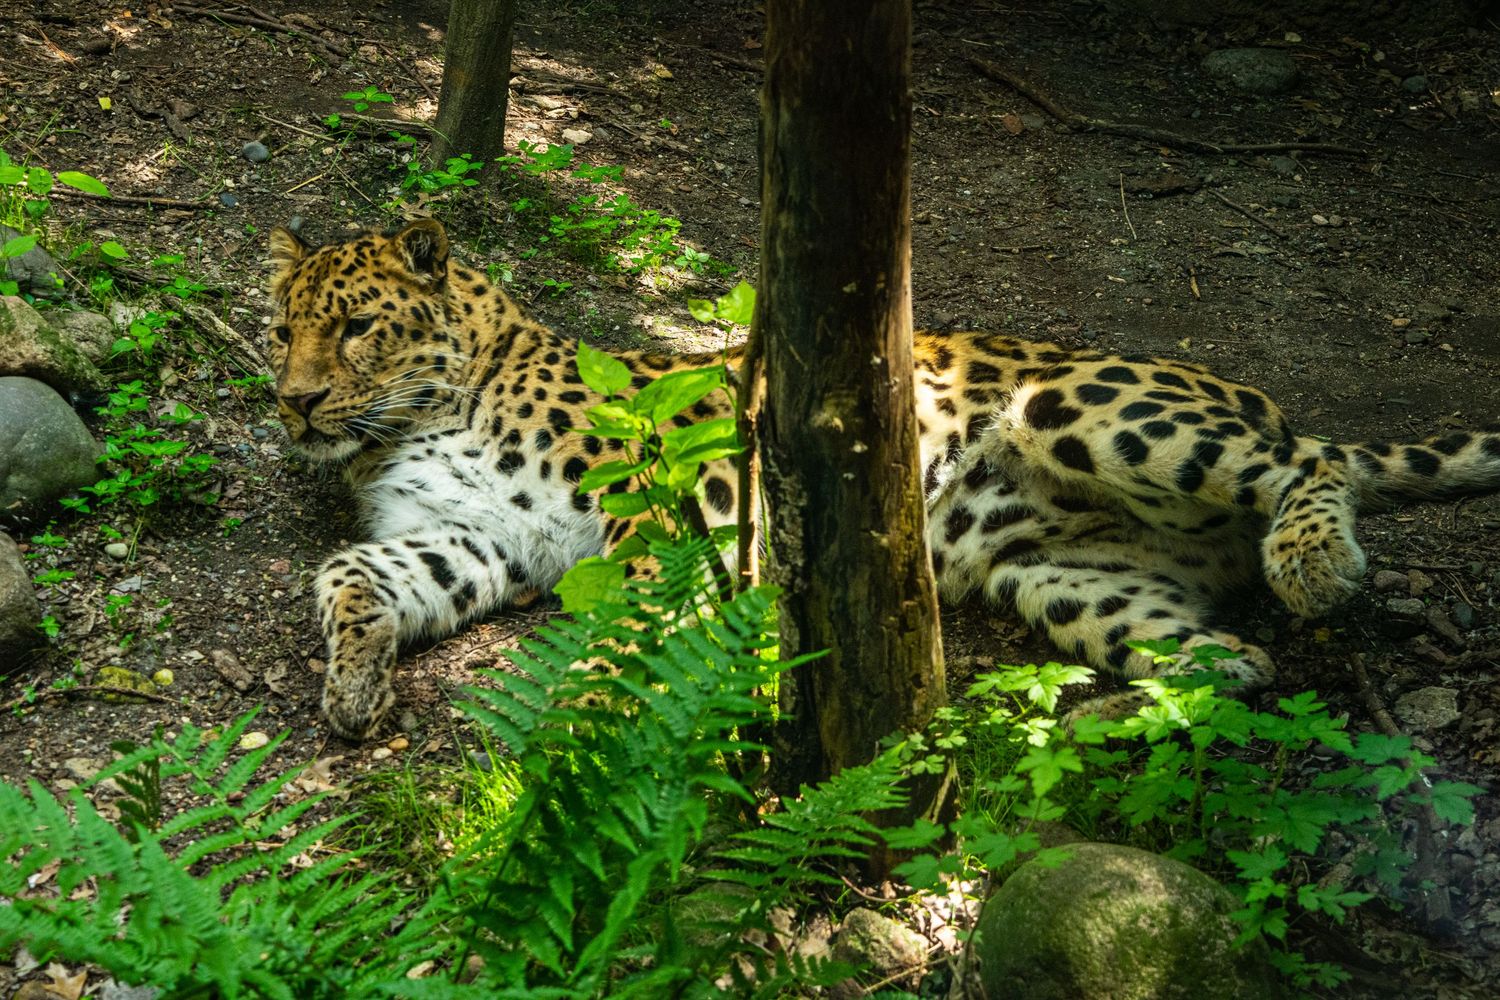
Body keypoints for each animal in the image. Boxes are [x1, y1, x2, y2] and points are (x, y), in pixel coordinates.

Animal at [267, 219, 1500, 740]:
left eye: (358, 329)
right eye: (282, 329)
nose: (294, 401)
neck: (419, 415)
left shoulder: (653, 511)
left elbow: (633, 620)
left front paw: (601, 708)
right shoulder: (468, 537)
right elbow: (349, 576)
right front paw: (354, 685)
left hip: (1081, 405)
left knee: (1314, 462)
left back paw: (1315, 561)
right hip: (1066, 581)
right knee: (1232, 651)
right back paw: (1152, 697)